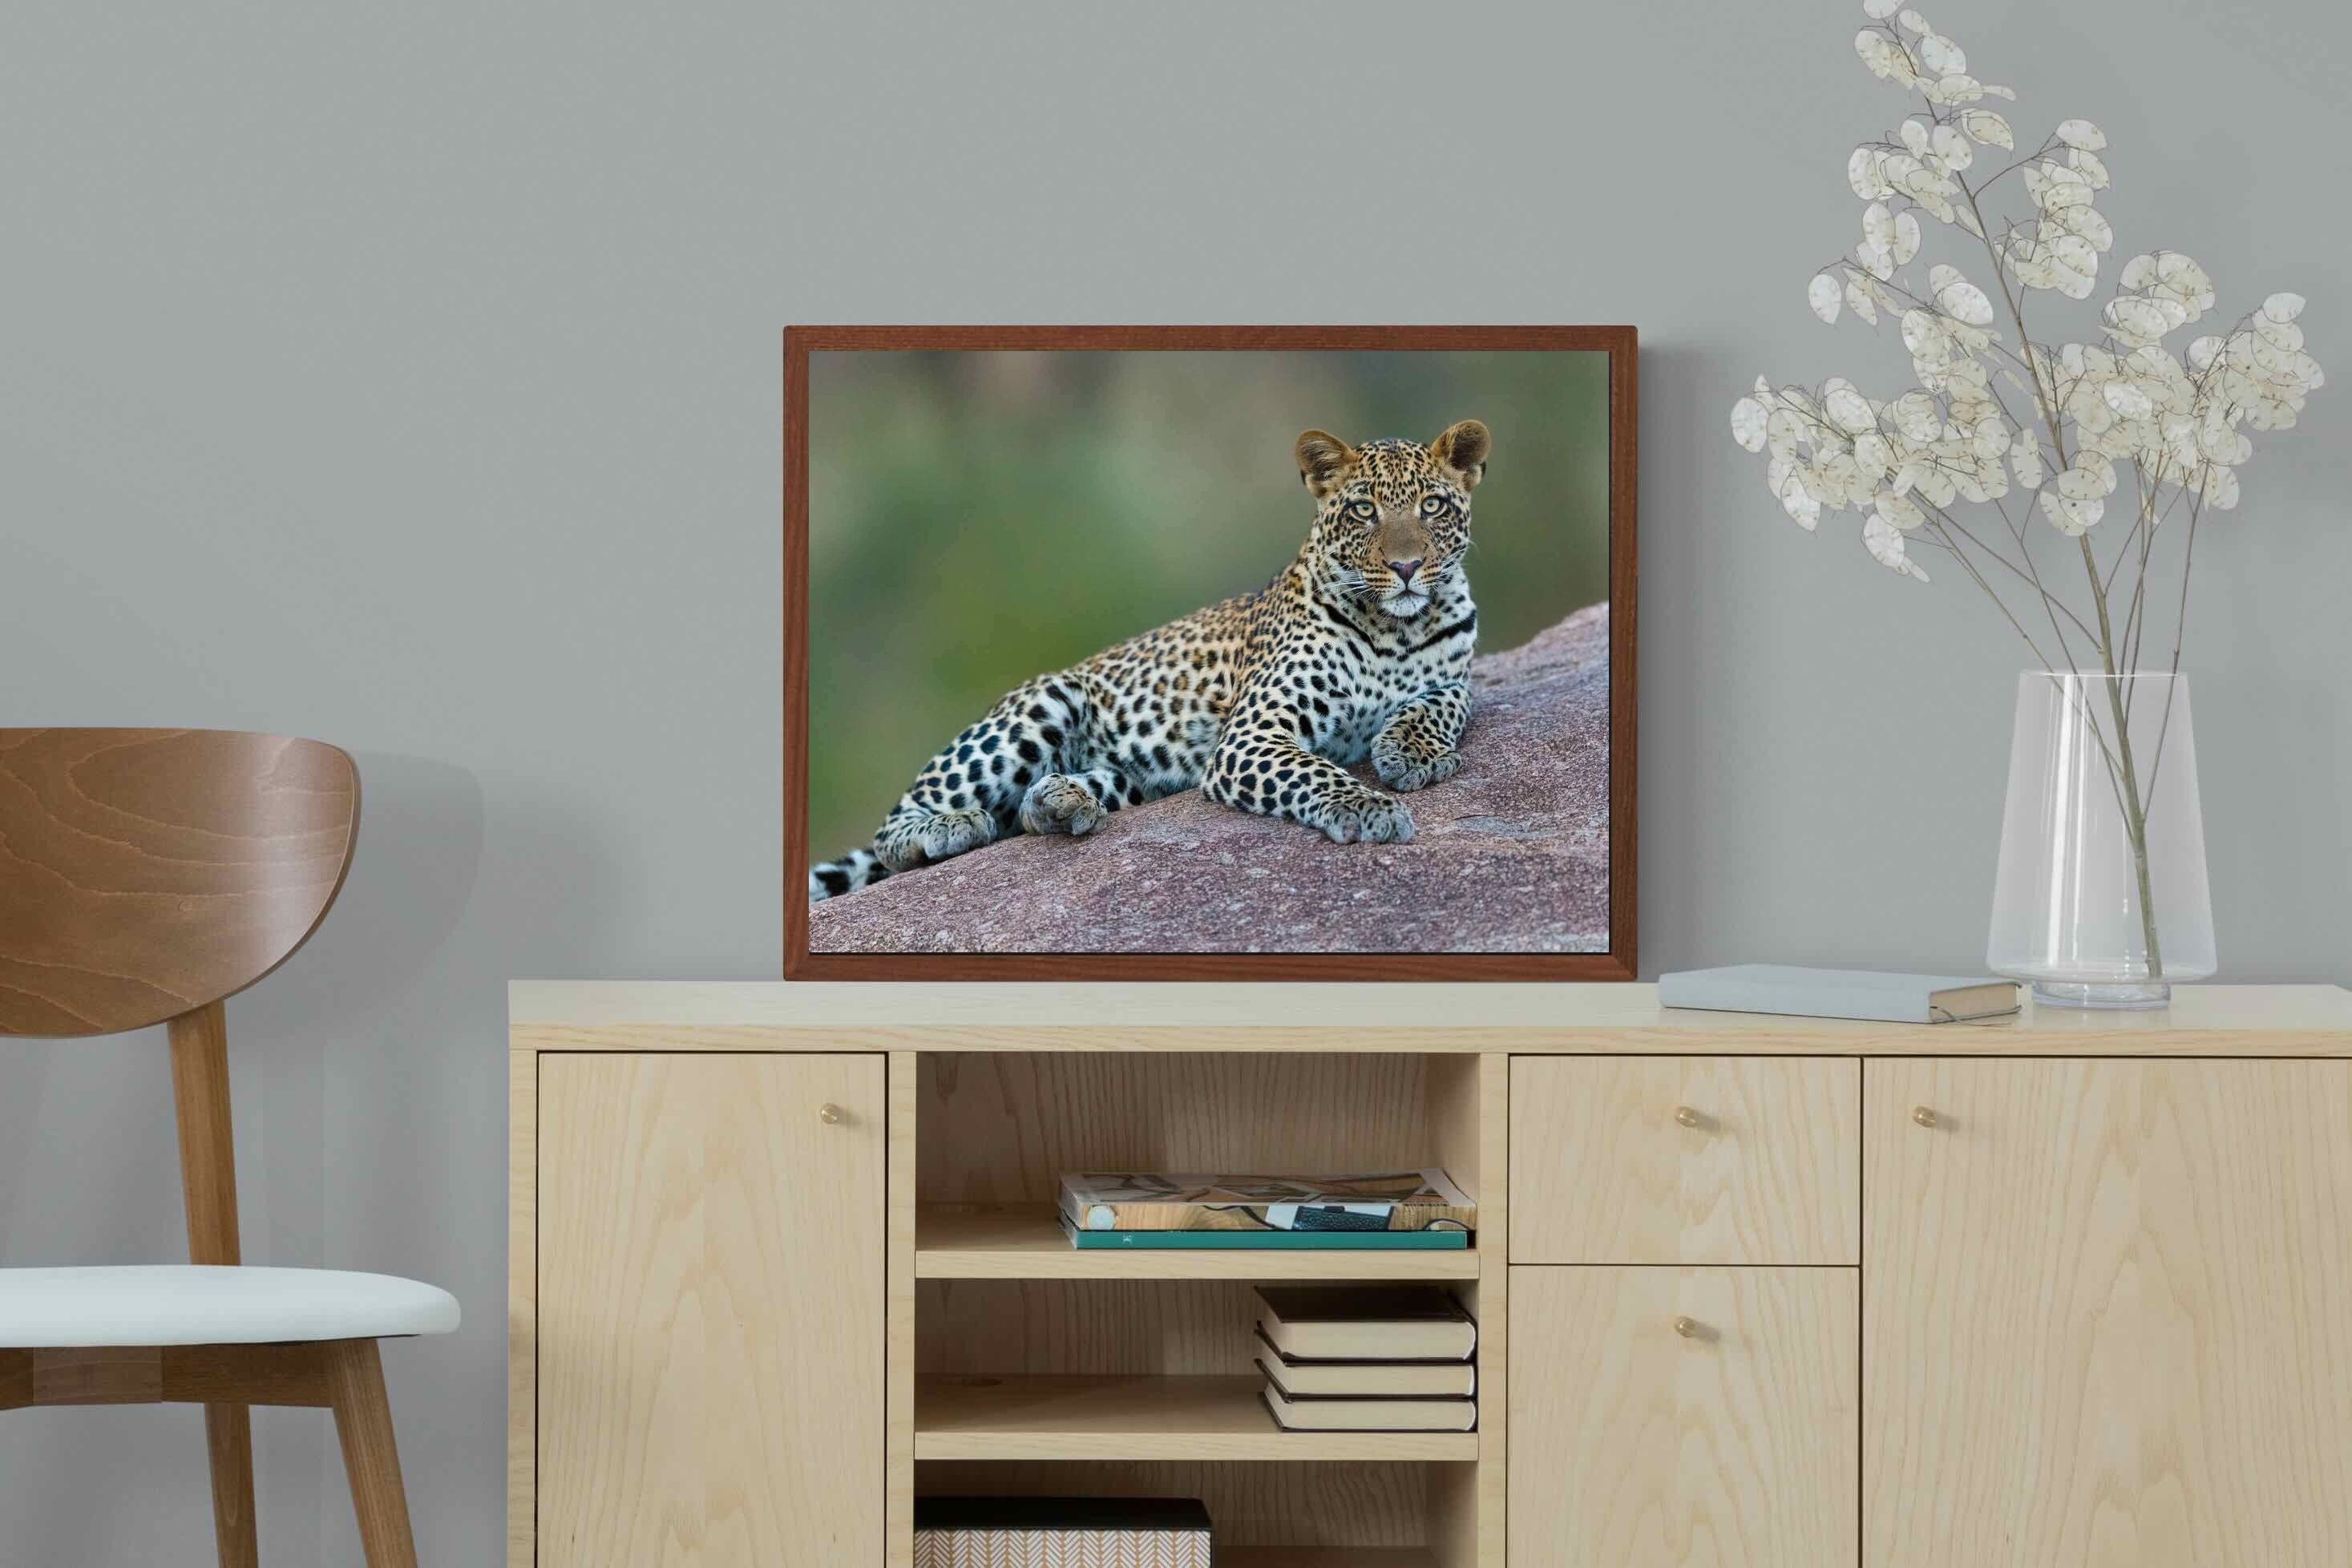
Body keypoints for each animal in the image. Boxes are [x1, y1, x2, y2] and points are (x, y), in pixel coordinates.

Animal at [808, 418, 1491, 902]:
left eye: (1431, 506)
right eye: (1362, 510)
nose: (1406, 567)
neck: (1396, 627)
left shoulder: (1456, 676)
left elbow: (1442, 704)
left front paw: (1414, 752)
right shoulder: (1252, 736)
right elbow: (1317, 772)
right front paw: (1369, 807)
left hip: (1133, 776)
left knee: (1032, 808)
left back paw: (1062, 803)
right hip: (1042, 704)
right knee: (896, 828)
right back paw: (947, 828)